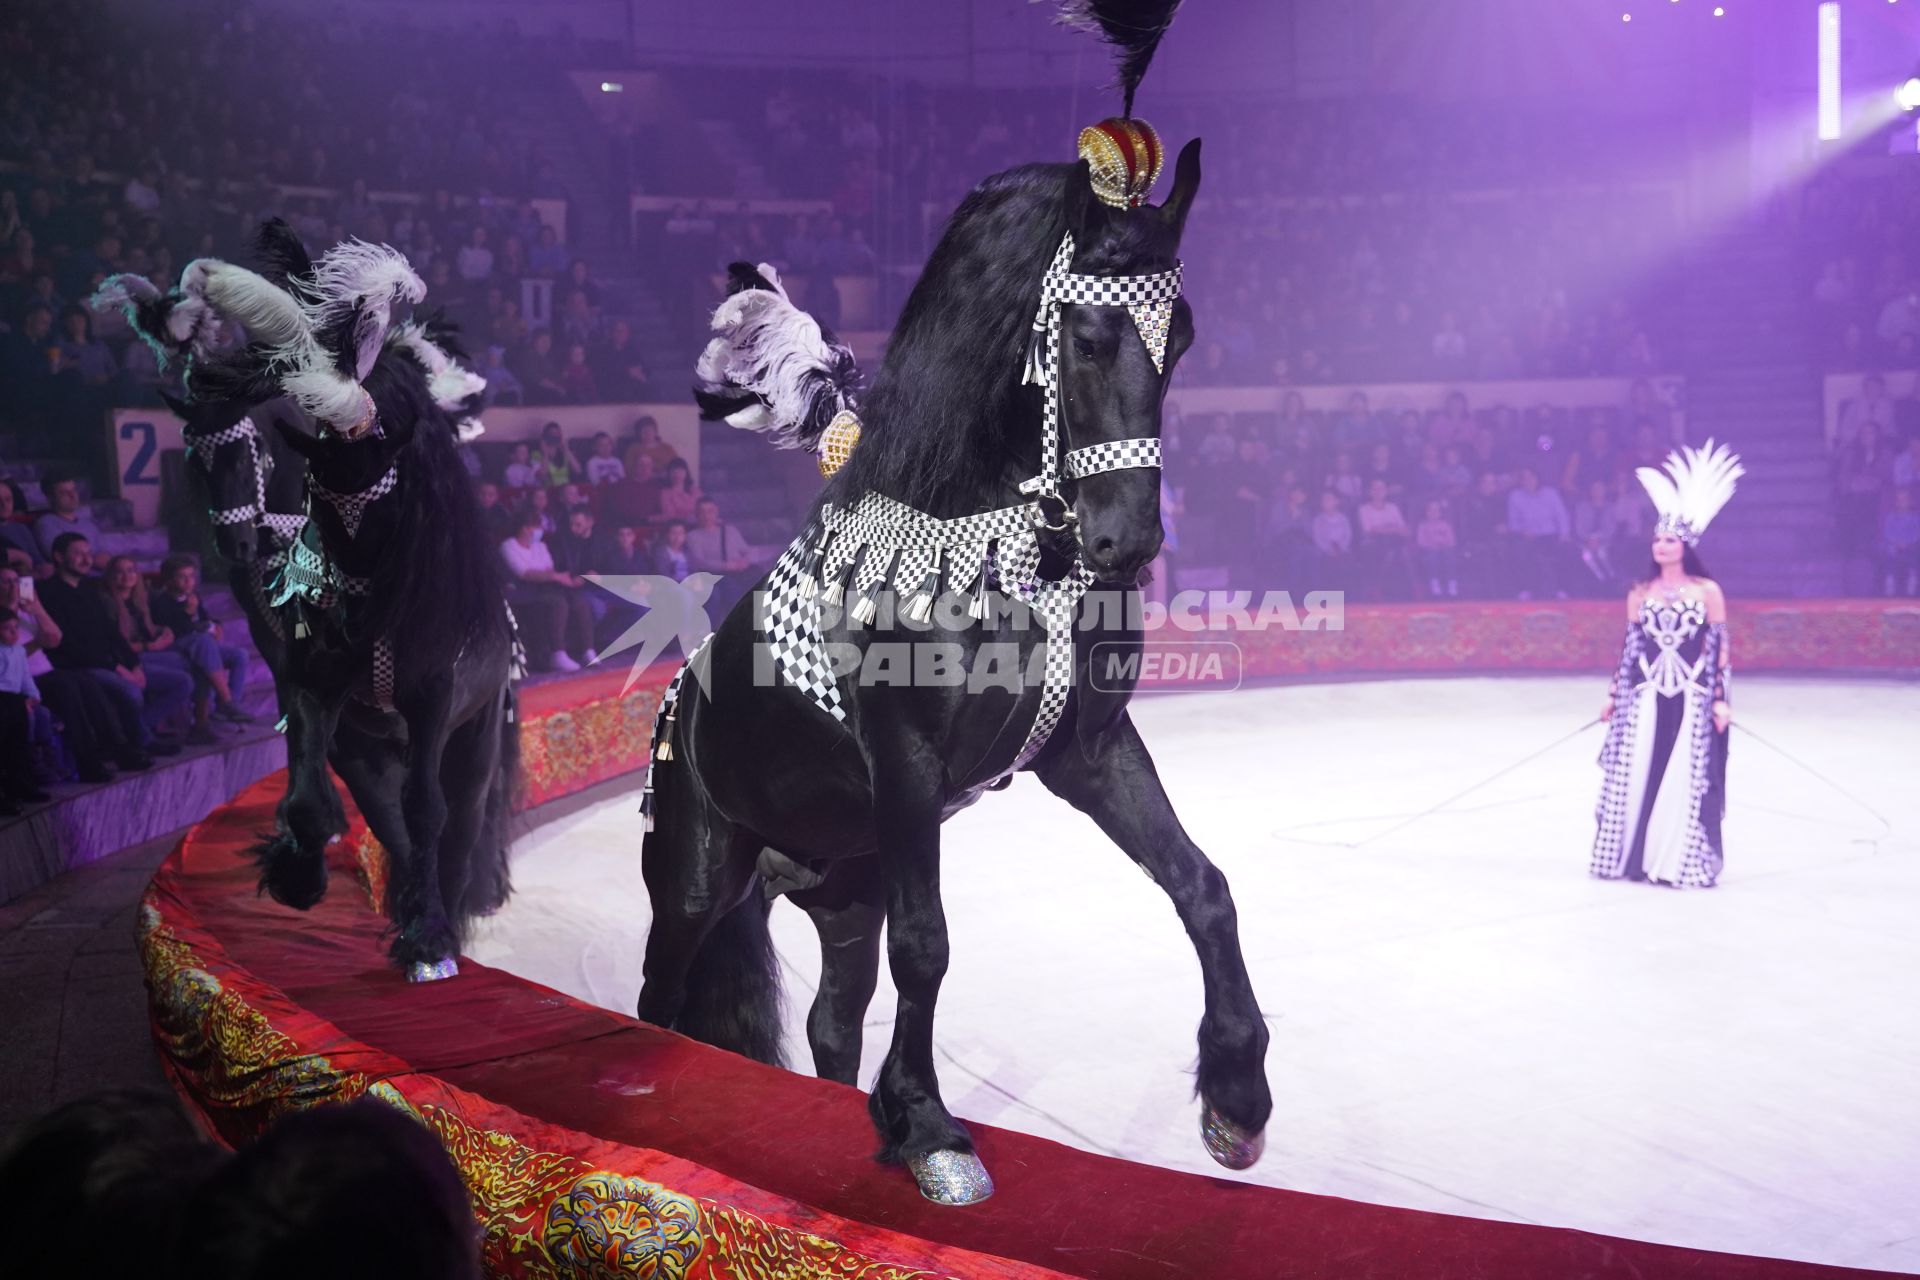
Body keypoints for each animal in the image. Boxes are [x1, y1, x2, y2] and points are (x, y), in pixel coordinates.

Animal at [641, 144, 1274, 1205]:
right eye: (1088, 339)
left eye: (1181, 335)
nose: (1128, 541)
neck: (984, 552)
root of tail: (682, 704)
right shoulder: (907, 769)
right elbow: (929, 944)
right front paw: (931, 1128)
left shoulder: (1088, 753)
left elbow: (1201, 884)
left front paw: (1237, 1094)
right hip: (696, 880)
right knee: (660, 995)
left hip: (843, 891)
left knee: (829, 1019)